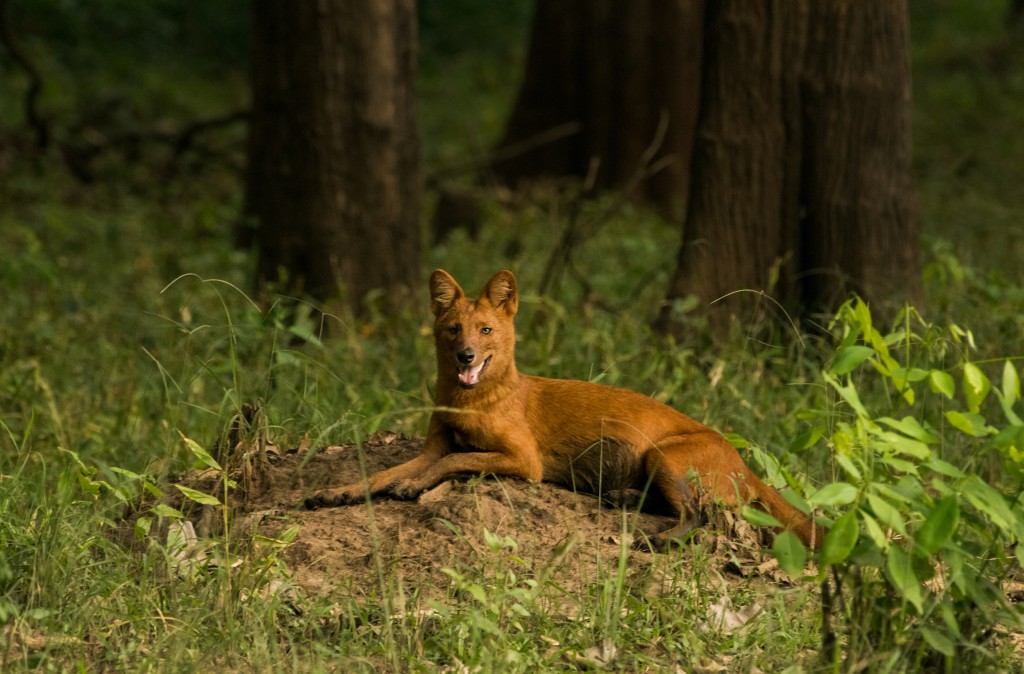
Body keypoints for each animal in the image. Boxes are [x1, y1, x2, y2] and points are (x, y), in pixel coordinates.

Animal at [305, 268, 823, 544]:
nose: (466, 356)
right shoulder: (433, 444)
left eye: (486, 330)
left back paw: (654, 538)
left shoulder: (524, 460)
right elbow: (383, 473)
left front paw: (412, 487)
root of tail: (744, 462)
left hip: (665, 455)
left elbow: (454, 461)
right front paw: (338, 492)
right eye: (453, 329)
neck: (467, 401)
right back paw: (622, 496)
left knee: (698, 516)